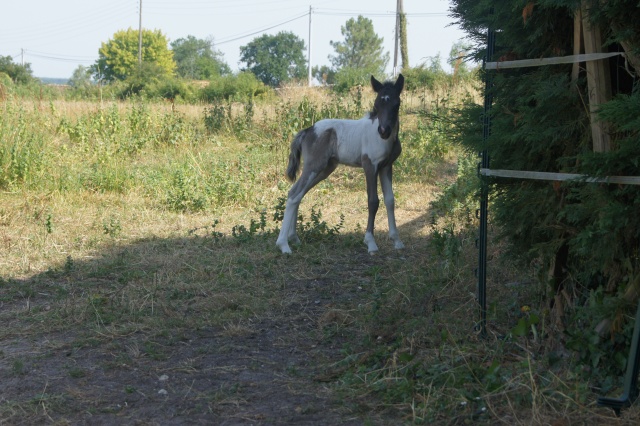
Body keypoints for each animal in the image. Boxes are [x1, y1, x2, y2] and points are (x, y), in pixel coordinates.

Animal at [276, 73, 404, 255]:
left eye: (396, 104)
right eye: (376, 104)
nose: (383, 131)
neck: (386, 141)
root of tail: (308, 130)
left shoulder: (386, 167)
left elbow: (390, 200)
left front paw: (397, 240)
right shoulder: (369, 166)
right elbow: (373, 201)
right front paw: (370, 243)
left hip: (325, 169)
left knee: (298, 194)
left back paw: (294, 238)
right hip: (314, 167)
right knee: (294, 194)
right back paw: (283, 245)